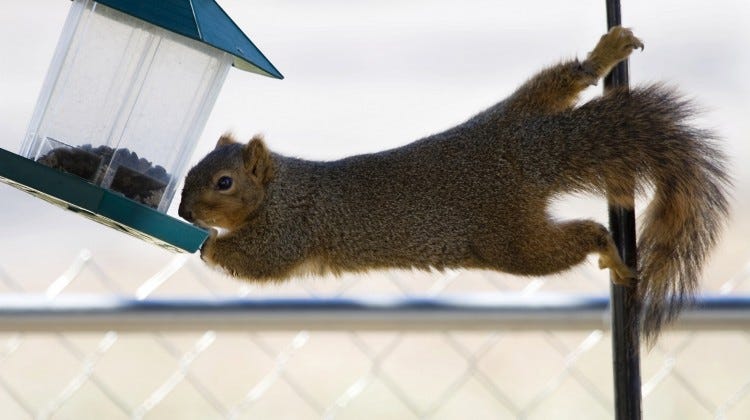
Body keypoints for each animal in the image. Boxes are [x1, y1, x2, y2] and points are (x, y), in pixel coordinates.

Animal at [179, 25, 732, 342]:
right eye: (191, 173)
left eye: (224, 182)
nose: (184, 213)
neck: (279, 188)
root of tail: (533, 155)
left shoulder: (289, 229)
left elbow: (259, 261)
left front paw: (207, 244)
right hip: (514, 114)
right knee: (563, 80)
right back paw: (605, 52)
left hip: (514, 243)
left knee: (580, 236)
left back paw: (610, 250)